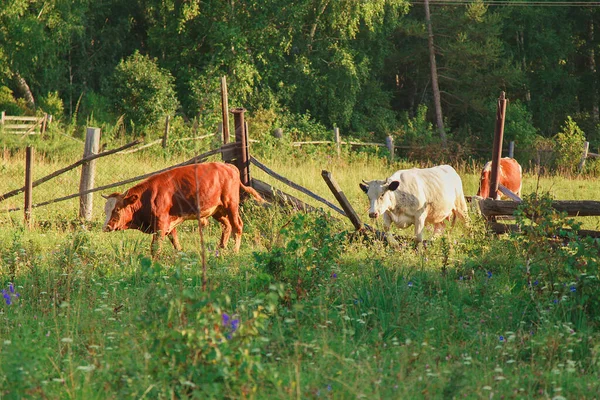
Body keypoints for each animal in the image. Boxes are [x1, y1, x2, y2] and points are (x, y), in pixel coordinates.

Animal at [103, 162, 264, 256]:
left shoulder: (160, 223)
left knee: (237, 226)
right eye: (105, 210)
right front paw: (181, 254)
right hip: (217, 210)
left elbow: (155, 247)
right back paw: (221, 247)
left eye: (117, 209)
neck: (147, 197)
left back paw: (234, 250)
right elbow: (175, 240)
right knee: (227, 226)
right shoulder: (169, 222)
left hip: (231, 206)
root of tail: (229, 166)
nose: (106, 227)